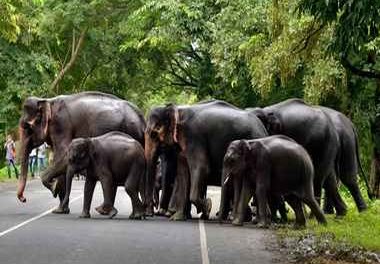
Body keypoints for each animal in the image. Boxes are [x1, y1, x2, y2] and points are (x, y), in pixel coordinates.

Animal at [15, 92, 145, 213]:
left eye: (27, 127)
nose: (23, 199)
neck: (47, 101)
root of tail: (141, 118)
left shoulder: (61, 125)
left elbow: (62, 154)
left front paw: (55, 193)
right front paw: (61, 208)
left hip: (131, 131)